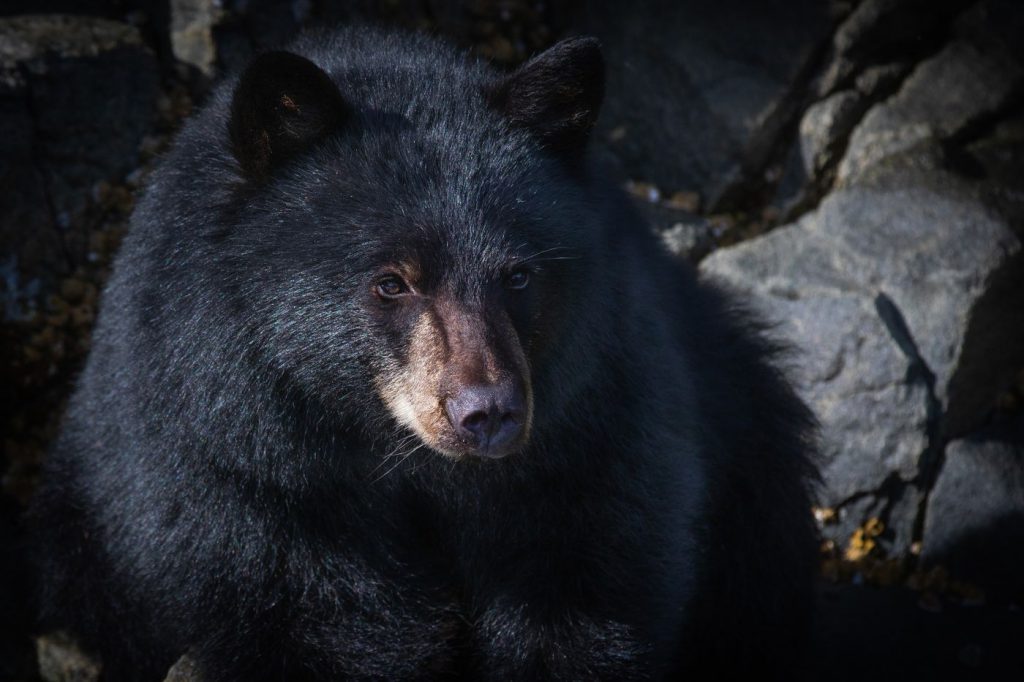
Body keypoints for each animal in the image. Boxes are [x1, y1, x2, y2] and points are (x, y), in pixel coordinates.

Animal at [30, 26, 818, 681]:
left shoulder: (594, 441)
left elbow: (588, 601)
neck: (412, 467)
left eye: (518, 275)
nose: (487, 413)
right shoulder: (247, 479)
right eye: (392, 281)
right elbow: (317, 624)